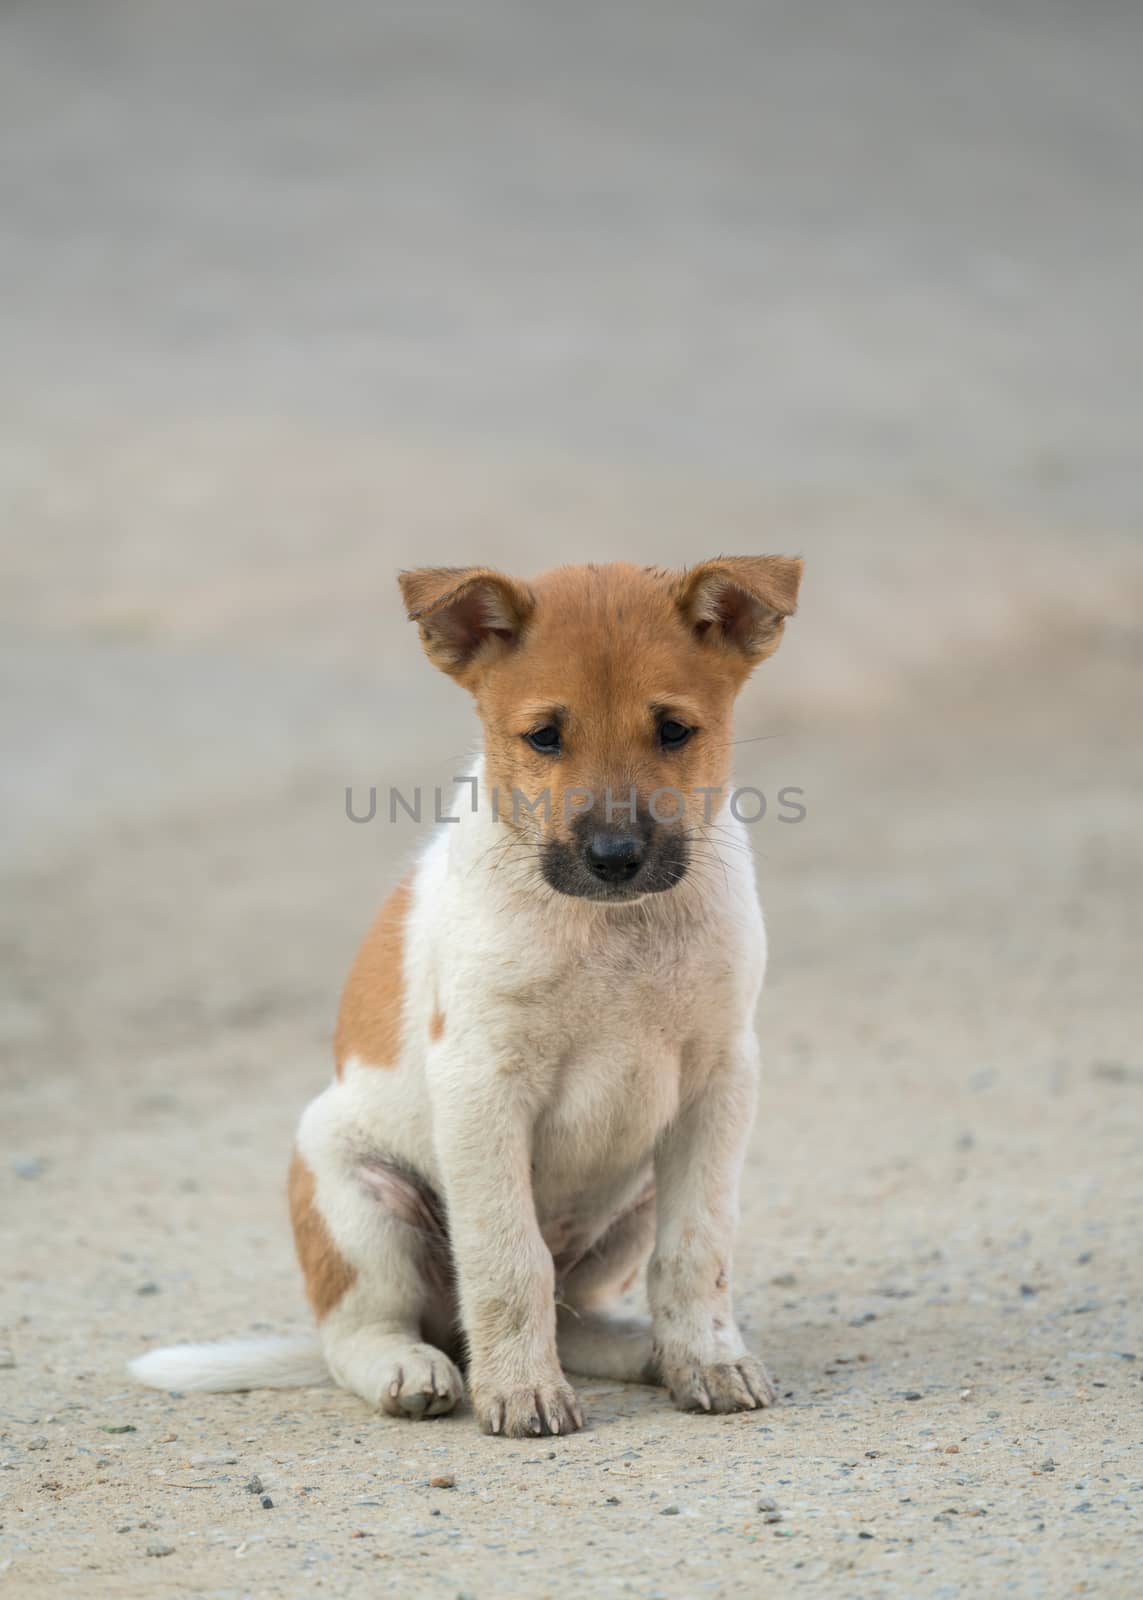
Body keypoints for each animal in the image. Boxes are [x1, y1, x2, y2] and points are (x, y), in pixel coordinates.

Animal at [128, 560, 797, 1440]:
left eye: (674, 732)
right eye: (544, 736)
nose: (614, 857)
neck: (610, 928)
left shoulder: (718, 1081)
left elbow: (697, 1250)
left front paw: (708, 1360)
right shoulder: (483, 1083)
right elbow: (507, 1257)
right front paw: (520, 1390)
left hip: (635, 1201)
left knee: (573, 1313)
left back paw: (646, 1350)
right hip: (358, 1200)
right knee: (360, 1334)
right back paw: (416, 1369)